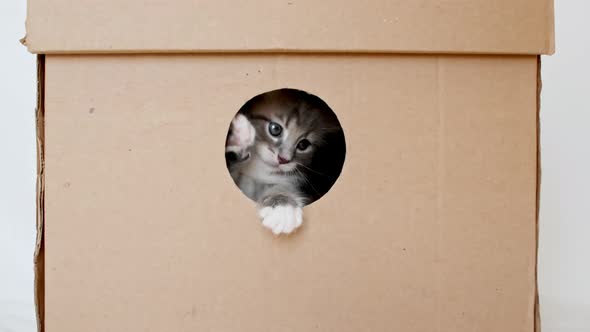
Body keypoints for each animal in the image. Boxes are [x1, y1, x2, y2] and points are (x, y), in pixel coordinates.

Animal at [227, 88, 346, 233]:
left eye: (303, 145)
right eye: (275, 129)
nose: (283, 159)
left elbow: (280, 187)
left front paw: (283, 209)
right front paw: (238, 134)